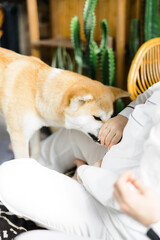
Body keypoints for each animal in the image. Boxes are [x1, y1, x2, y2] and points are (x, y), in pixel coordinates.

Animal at [0, 47, 129, 158]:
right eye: (96, 117)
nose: (120, 139)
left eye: (111, 117)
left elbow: (36, 153)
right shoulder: (19, 137)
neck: (37, 91)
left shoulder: (34, 131)